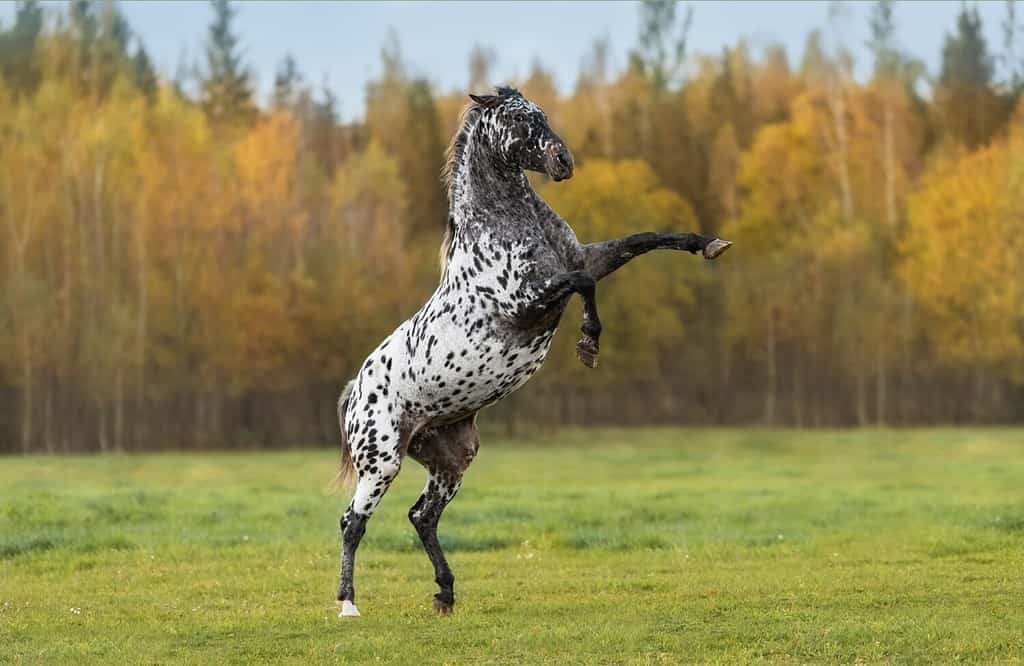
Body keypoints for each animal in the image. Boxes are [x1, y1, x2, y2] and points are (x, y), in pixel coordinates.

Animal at [335, 86, 731, 618]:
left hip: (452, 458)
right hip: (381, 461)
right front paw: (588, 343)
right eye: (519, 122)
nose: (564, 162)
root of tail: (355, 391)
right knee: (353, 522)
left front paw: (710, 244)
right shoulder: (527, 300)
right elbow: (583, 285)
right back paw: (348, 603)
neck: (502, 222)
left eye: (542, 114)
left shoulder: (585, 257)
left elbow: (643, 239)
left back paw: (445, 593)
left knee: (422, 516)